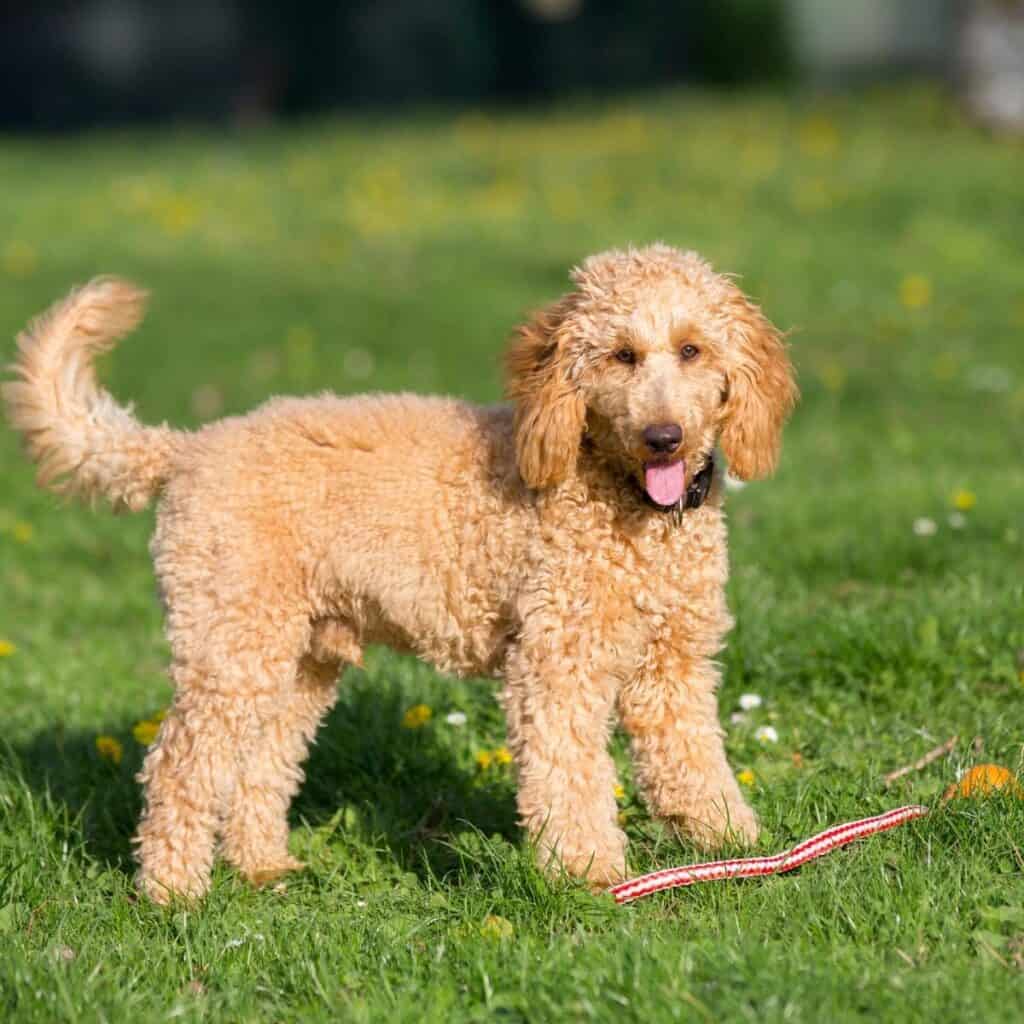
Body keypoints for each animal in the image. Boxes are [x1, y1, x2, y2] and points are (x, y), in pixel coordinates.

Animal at [2, 243, 798, 901]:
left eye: (692, 349)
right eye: (621, 355)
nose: (664, 437)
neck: (619, 496)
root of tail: (186, 449)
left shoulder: (674, 664)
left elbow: (692, 757)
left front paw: (731, 843)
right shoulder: (554, 662)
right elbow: (569, 776)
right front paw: (588, 873)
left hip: (298, 657)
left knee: (260, 762)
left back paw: (261, 866)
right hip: (230, 642)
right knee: (179, 764)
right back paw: (172, 891)